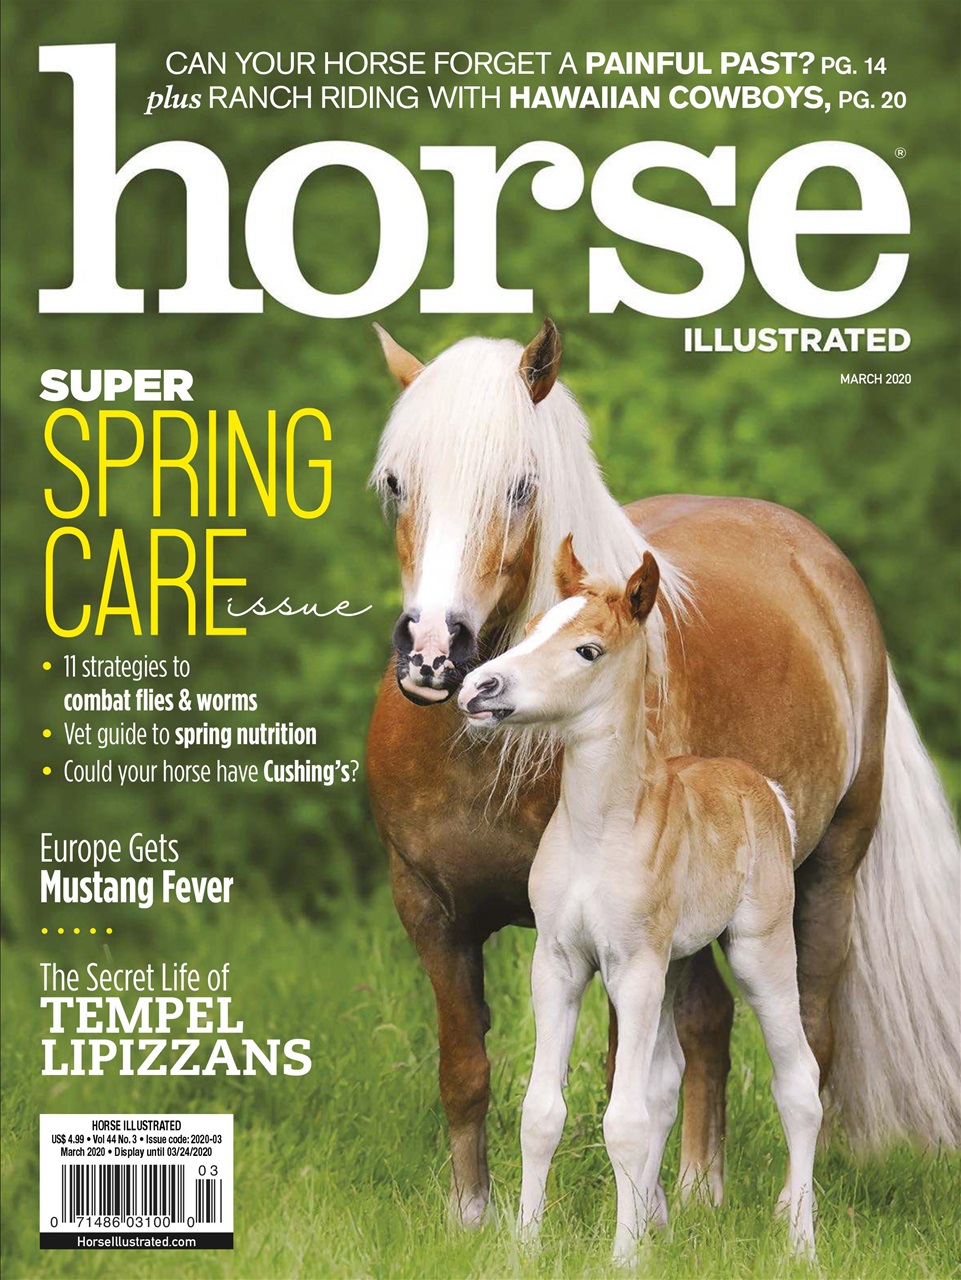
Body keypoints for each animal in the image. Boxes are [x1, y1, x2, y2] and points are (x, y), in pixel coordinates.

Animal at [458, 537, 822, 1262]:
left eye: (587, 650)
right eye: (533, 628)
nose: (479, 689)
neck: (598, 830)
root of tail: (765, 790)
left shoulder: (633, 968)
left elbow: (622, 1119)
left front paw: (622, 1256)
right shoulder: (559, 963)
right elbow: (543, 1112)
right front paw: (527, 1246)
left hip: (758, 952)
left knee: (798, 1081)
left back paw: (800, 1242)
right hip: (676, 961)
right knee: (664, 1084)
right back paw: (661, 1224)